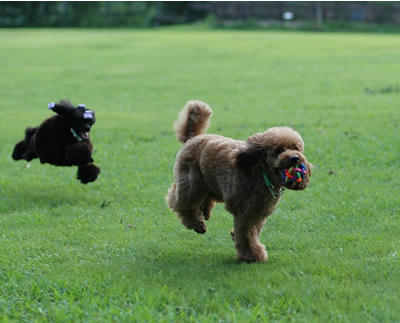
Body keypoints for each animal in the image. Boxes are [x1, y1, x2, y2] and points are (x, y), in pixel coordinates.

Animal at [166, 101, 312, 264]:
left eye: (296, 148)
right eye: (279, 150)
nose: (295, 158)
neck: (260, 174)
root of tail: (193, 137)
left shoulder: (258, 212)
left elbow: (251, 233)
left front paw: (247, 247)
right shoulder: (245, 212)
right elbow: (246, 234)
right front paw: (251, 255)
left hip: (209, 183)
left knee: (204, 198)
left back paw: (204, 211)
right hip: (192, 182)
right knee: (178, 201)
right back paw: (196, 223)